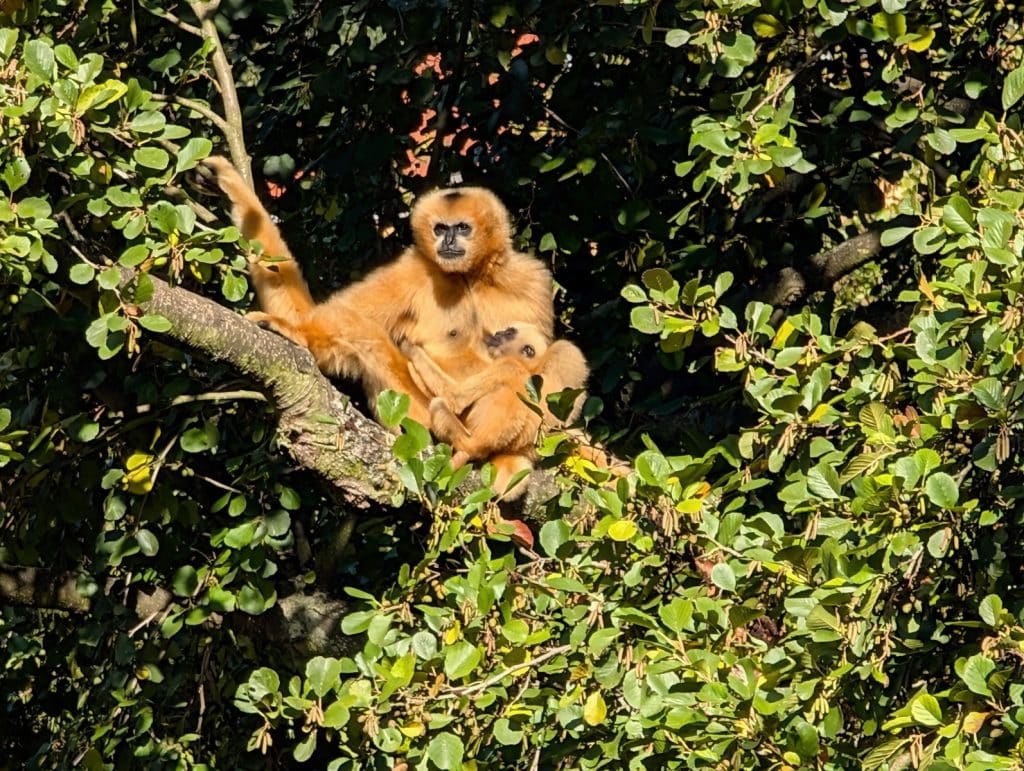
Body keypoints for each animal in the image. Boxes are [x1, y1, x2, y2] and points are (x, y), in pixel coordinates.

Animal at [202, 156, 554, 427]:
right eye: (440, 228)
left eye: (462, 228)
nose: (448, 241)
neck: (467, 276)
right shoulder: (413, 269)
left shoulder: (531, 279)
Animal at [402, 323, 589, 497]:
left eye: (509, 333)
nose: (497, 333)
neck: (526, 368)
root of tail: (475, 445)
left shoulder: (505, 365)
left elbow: (455, 398)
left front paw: (410, 349)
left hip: (461, 435)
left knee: (438, 403)